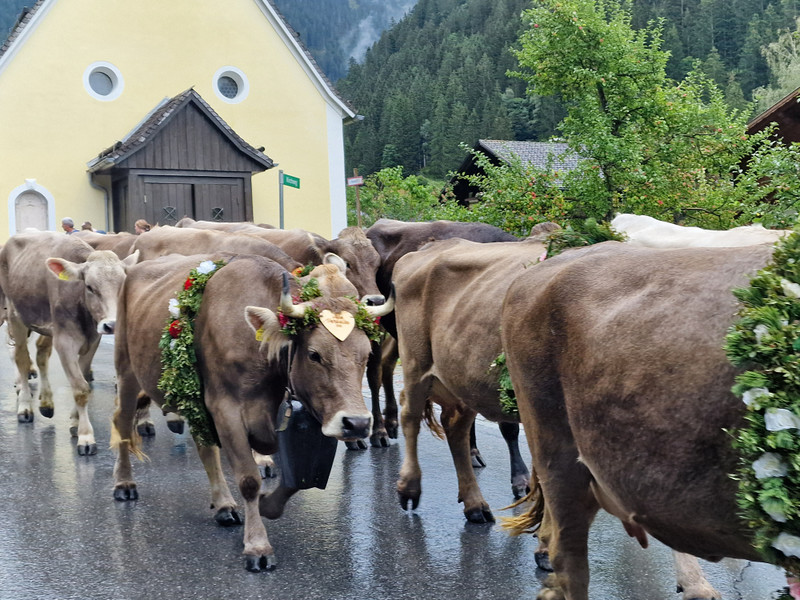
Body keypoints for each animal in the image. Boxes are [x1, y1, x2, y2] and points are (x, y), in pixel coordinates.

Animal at [0, 231, 139, 455]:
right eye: (90, 287)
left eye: (123, 286)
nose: (113, 324)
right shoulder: (65, 341)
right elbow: (80, 388)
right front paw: (86, 437)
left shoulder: (92, 340)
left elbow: (82, 379)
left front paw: (74, 422)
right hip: (15, 316)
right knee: (21, 358)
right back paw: (25, 406)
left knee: (40, 356)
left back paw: (46, 403)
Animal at [110, 253, 394, 570]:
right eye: (314, 354)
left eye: (366, 354)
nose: (357, 423)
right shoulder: (227, 411)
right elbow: (249, 480)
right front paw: (257, 546)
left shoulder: (313, 418)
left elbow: (297, 481)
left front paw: (267, 506)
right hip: (126, 370)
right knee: (122, 423)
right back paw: (124, 483)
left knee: (204, 446)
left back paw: (223, 504)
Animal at [391, 235, 554, 522]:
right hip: (414, 362)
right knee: (410, 416)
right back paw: (409, 488)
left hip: (464, 379)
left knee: (455, 427)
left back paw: (475, 505)